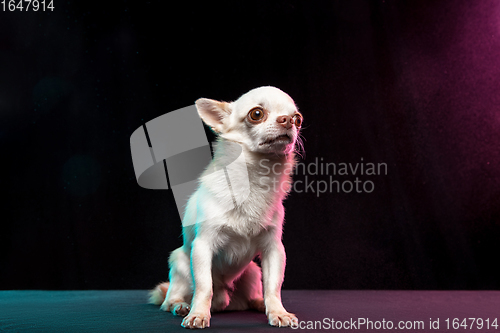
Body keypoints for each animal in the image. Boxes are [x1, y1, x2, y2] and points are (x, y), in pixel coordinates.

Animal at [148, 85, 302, 326]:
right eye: (256, 114)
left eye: (298, 119)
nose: (287, 121)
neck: (254, 179)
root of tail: (229, 300)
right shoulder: (202, 247)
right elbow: (204, 287)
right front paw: (198, 314)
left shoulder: (274, 249)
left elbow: (273, 287)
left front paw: (278, 312)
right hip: (180, 264)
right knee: (171, 298)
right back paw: (181, 306)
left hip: (252, 272)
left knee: (253, 296)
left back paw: (259, 303)